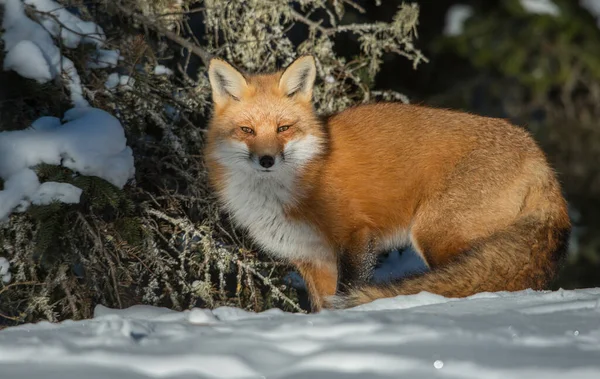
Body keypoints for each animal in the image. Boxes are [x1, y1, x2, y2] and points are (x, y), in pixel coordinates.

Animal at [205, 55, 572, 312]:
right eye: (247, 130)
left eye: (283, 128)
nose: (267, 160)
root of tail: (540, 157)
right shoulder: (311, 258)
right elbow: (321, 307)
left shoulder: (355, 236)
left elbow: (346, 290)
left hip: (436, 234)